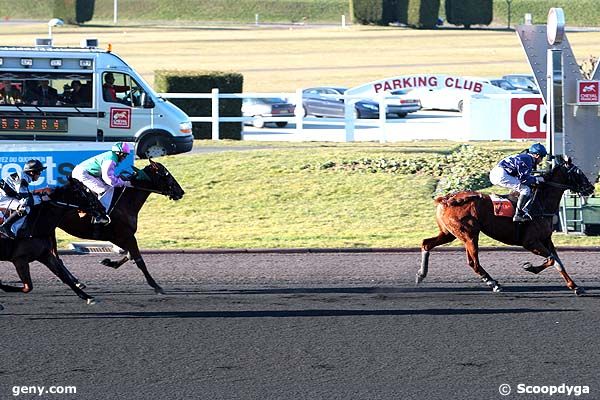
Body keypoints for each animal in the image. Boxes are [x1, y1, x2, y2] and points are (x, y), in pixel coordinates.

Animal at [55, 159, 185, 294]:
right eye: (167, 175)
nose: (181, 192)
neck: (126, 201)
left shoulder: (117, 237)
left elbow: (129, 254)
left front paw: (109, 262)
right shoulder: (126, 235)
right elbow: (139, 259)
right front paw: (155, 285)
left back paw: (77, 281)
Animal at [418, 156, 596, 294]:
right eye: (578, 172)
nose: (591, 187)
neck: (540, 203)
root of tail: (446, 198)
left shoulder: (546, 239)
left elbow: (558, 262)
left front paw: (575, 286)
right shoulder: (530, 242)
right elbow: (551, 260)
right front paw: (529, 267)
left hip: (449, 233)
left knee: (426, 244)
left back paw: (421, 274)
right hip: (469, 234)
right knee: (473, 262)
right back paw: (493, 283)